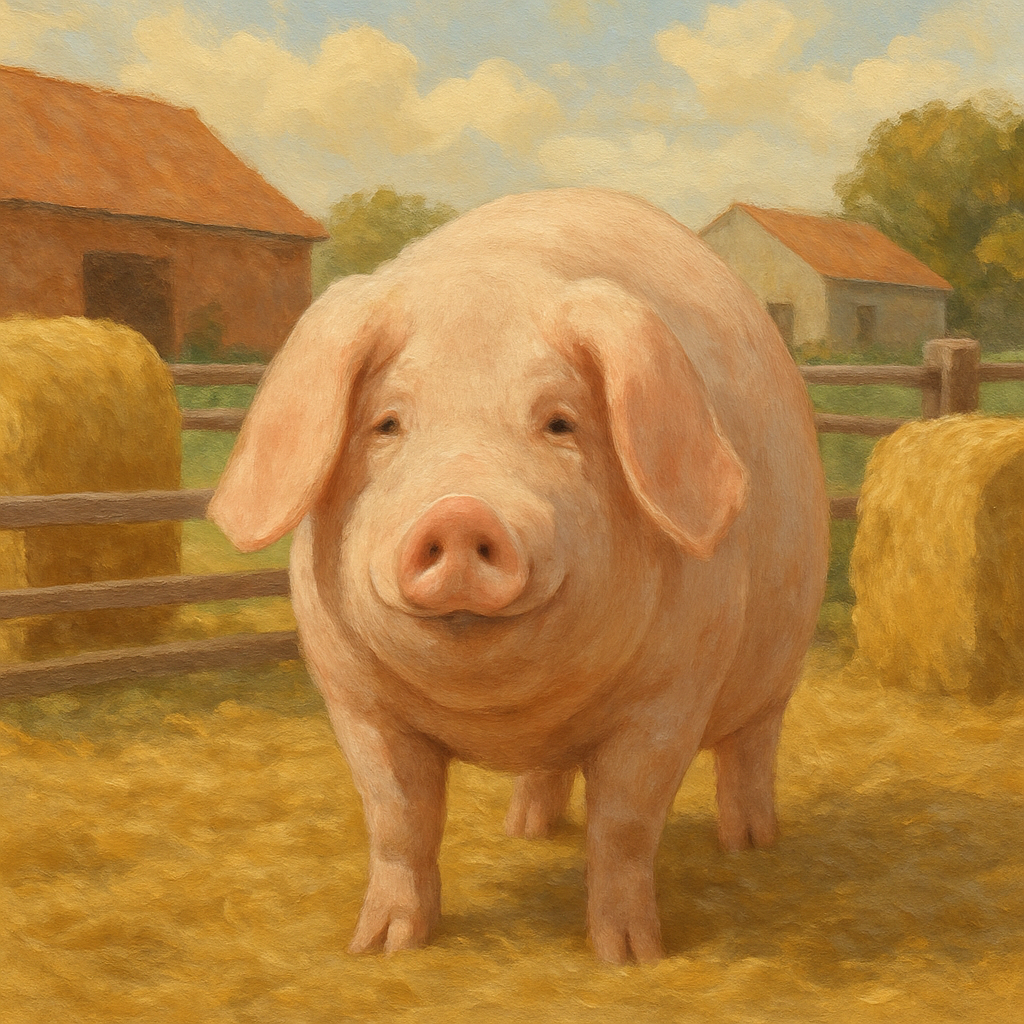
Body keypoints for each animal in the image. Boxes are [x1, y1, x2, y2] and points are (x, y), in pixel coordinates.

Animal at [208, 187, 829, 964]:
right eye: (387, 423)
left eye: (560, 423)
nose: (460, 512)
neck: (503, 713)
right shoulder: (355, 699)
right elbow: (397, 819)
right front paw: (381, 948)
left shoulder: (670, 697)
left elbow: (625, 824)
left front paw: (629, 956)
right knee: (545, 773)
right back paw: (527, 831)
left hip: (779, 662)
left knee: (751, 751)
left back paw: (749, 847)